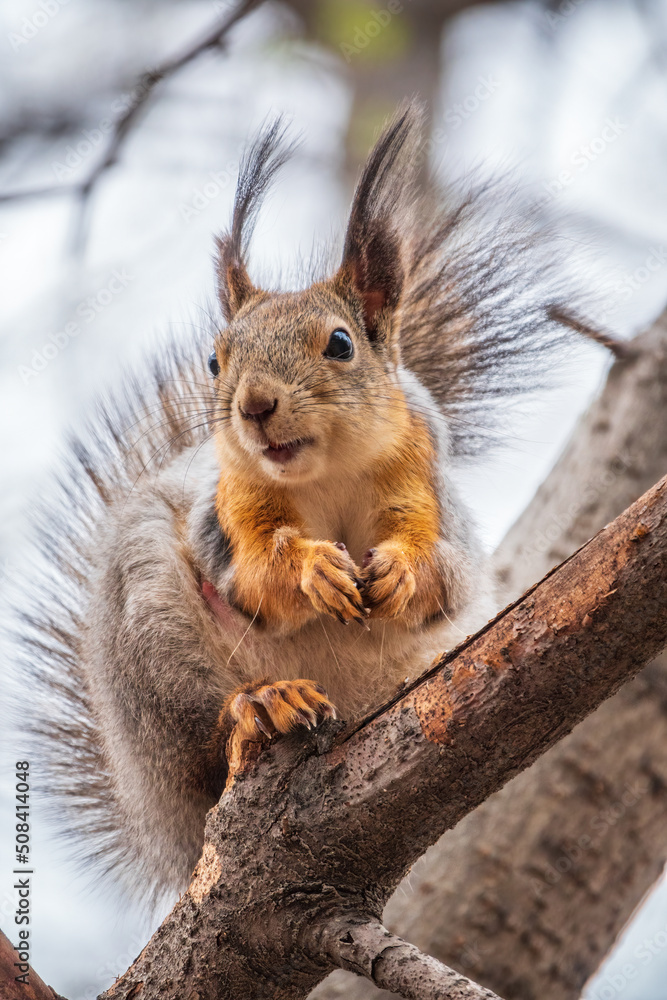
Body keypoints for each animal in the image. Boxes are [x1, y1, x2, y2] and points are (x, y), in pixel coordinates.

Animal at [18, 104, 584, 906]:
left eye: (340, 344)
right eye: (215, 359)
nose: (254, 407)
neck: (329, 473)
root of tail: (166, 829)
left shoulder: (428, 488)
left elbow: (444, 573)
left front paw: (402, 572)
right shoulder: (227, 512)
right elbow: (254, 576)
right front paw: (310, 570)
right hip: (151, 641)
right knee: (204, 735)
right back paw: (261, 704)